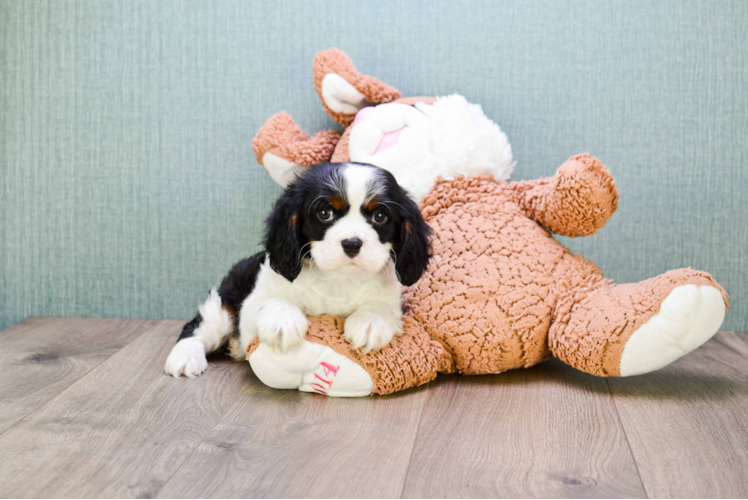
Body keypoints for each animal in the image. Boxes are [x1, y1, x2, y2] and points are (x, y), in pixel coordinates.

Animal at [166, 162, 430, 376]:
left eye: (380, 216)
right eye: (324, 213)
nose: (352, 243)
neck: (338, 280)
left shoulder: (392, 301)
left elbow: (380, 307)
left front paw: (369, 323)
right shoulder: (252, 304)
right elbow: (271, 301)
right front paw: (282, 321)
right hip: (223, 305)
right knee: (196, 328)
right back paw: (184, 357)